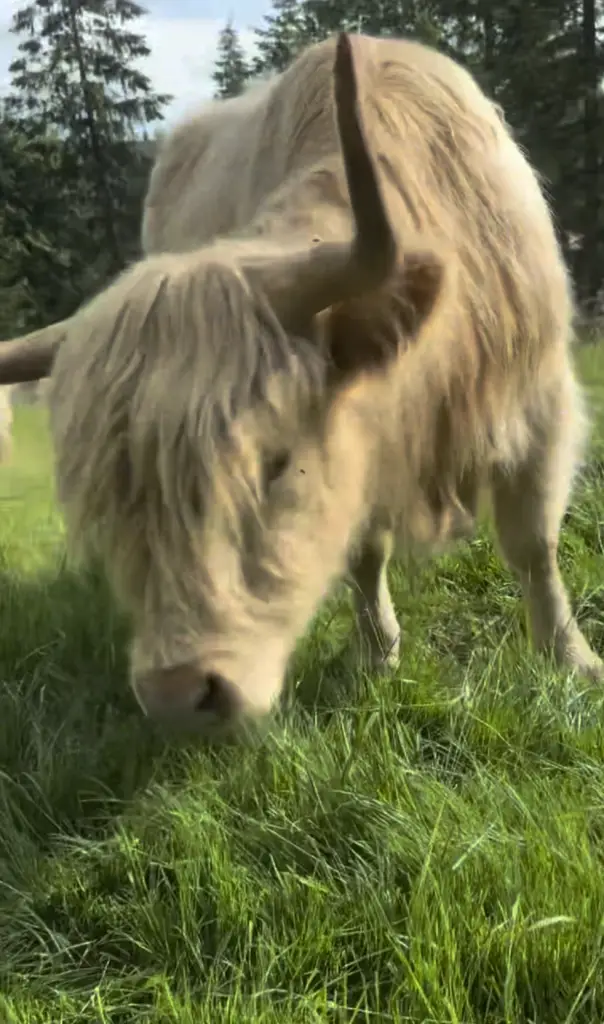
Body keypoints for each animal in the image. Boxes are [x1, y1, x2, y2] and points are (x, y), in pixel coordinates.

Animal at [0, 32, 600, 734]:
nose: (181, 696)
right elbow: (365, 550)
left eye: (277, 464)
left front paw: (572, 660)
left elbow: (534, 544)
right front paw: (377, 654)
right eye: (112, 497)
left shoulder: (542, 404)